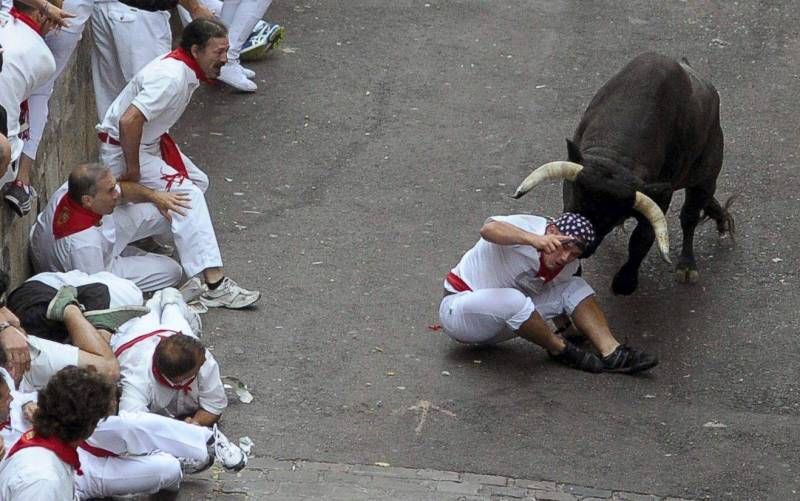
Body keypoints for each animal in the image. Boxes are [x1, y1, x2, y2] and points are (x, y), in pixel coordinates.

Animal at [516, 51, 736, 292]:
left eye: (609, 217)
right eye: (576, 198)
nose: (580, 248)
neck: (616, 155)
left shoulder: (661, 195)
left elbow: (642, 237)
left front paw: (625, 282)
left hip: (707, 174)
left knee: (690, 215)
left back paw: (687, 266)